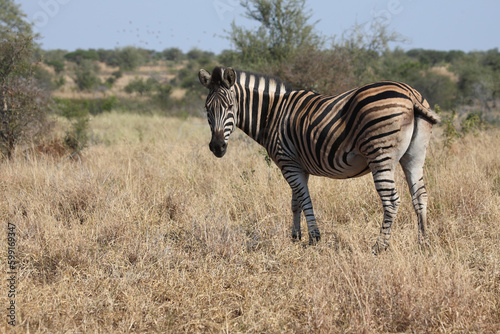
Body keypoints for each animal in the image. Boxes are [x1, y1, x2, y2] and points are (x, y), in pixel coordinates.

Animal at [197, 66, 440, 253]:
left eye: (230, 107)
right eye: (207, 108)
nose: (217, 147)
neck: (273, 114)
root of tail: (410, 94)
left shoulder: (288, 163)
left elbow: (305, 200)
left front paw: (314, 238)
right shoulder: (298, 166)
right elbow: (295, 202)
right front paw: (295, 237)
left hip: (380, 155)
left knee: (391, 201)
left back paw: (380, 247)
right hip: (414, 156)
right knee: (420, 196)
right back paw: (424, 243)